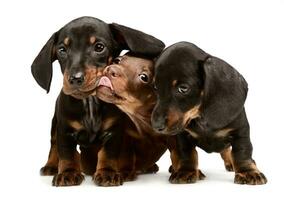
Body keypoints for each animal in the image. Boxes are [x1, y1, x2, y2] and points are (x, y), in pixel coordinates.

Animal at [30, 16, 164, 186]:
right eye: (62, 50)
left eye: (99, 47)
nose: (75, 79)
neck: (90, 102)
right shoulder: (65, 130)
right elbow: (67, 153)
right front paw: (68, 173)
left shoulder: (114, 132)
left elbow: (108, 154)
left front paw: (107, 173)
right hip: (55, 123)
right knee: (54, 144)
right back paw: (51, 166)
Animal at [152, 41, 268, 185]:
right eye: (155, 87)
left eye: (183, 88)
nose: (156, 126)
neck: (201, 116)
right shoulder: (183, 136)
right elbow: (187, 154)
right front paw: (186, 171)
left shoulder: (240, 131)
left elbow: (242, 152)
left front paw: (248, 172)